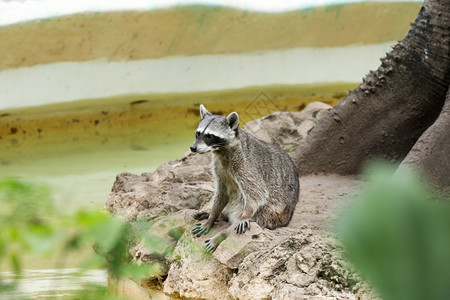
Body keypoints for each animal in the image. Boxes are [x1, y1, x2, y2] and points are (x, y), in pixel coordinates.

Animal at [190, 104, 298, 252]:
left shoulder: (245, 165)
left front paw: (245, 214)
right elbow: (221, 193)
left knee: (239, 222)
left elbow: (257, 191)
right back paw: (219, 216)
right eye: (198, 133)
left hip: (270, 215)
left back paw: (221, 235)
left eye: (210, 136)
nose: (193, 148)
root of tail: (287, 218)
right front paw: (212, 216)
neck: (222, 152)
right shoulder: (219, 167)